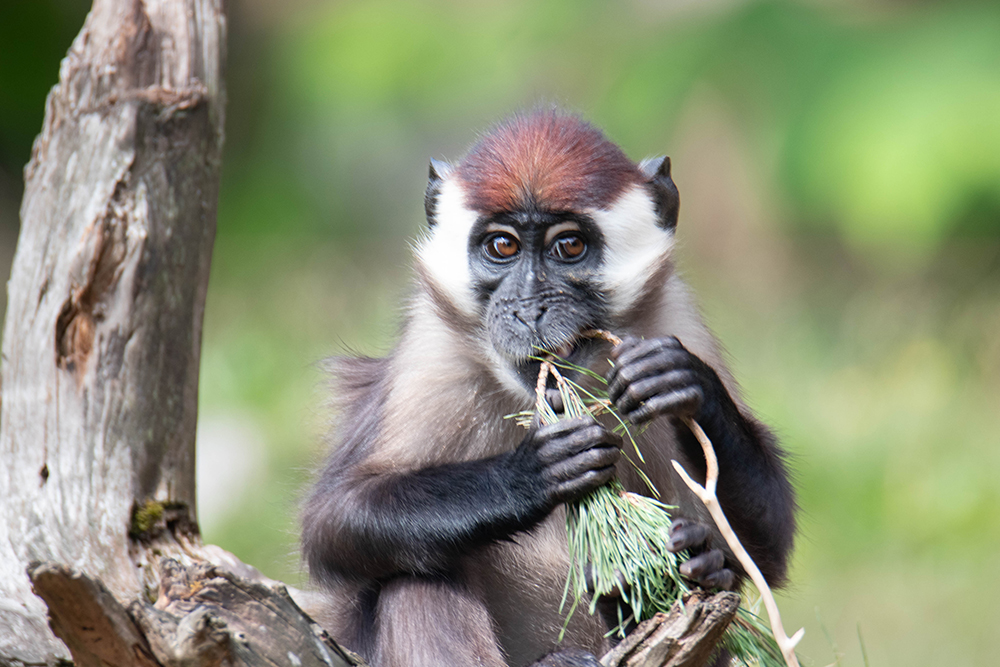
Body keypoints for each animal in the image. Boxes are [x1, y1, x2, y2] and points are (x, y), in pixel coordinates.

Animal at [300, 109, 792, 667]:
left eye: (569, 246)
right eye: (503, 246)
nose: (529, 308)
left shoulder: (674, 318)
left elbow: (762, 553)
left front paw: (687, 384)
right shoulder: (430, 356)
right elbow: (332, 521)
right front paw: (532, 472)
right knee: (419, 572)